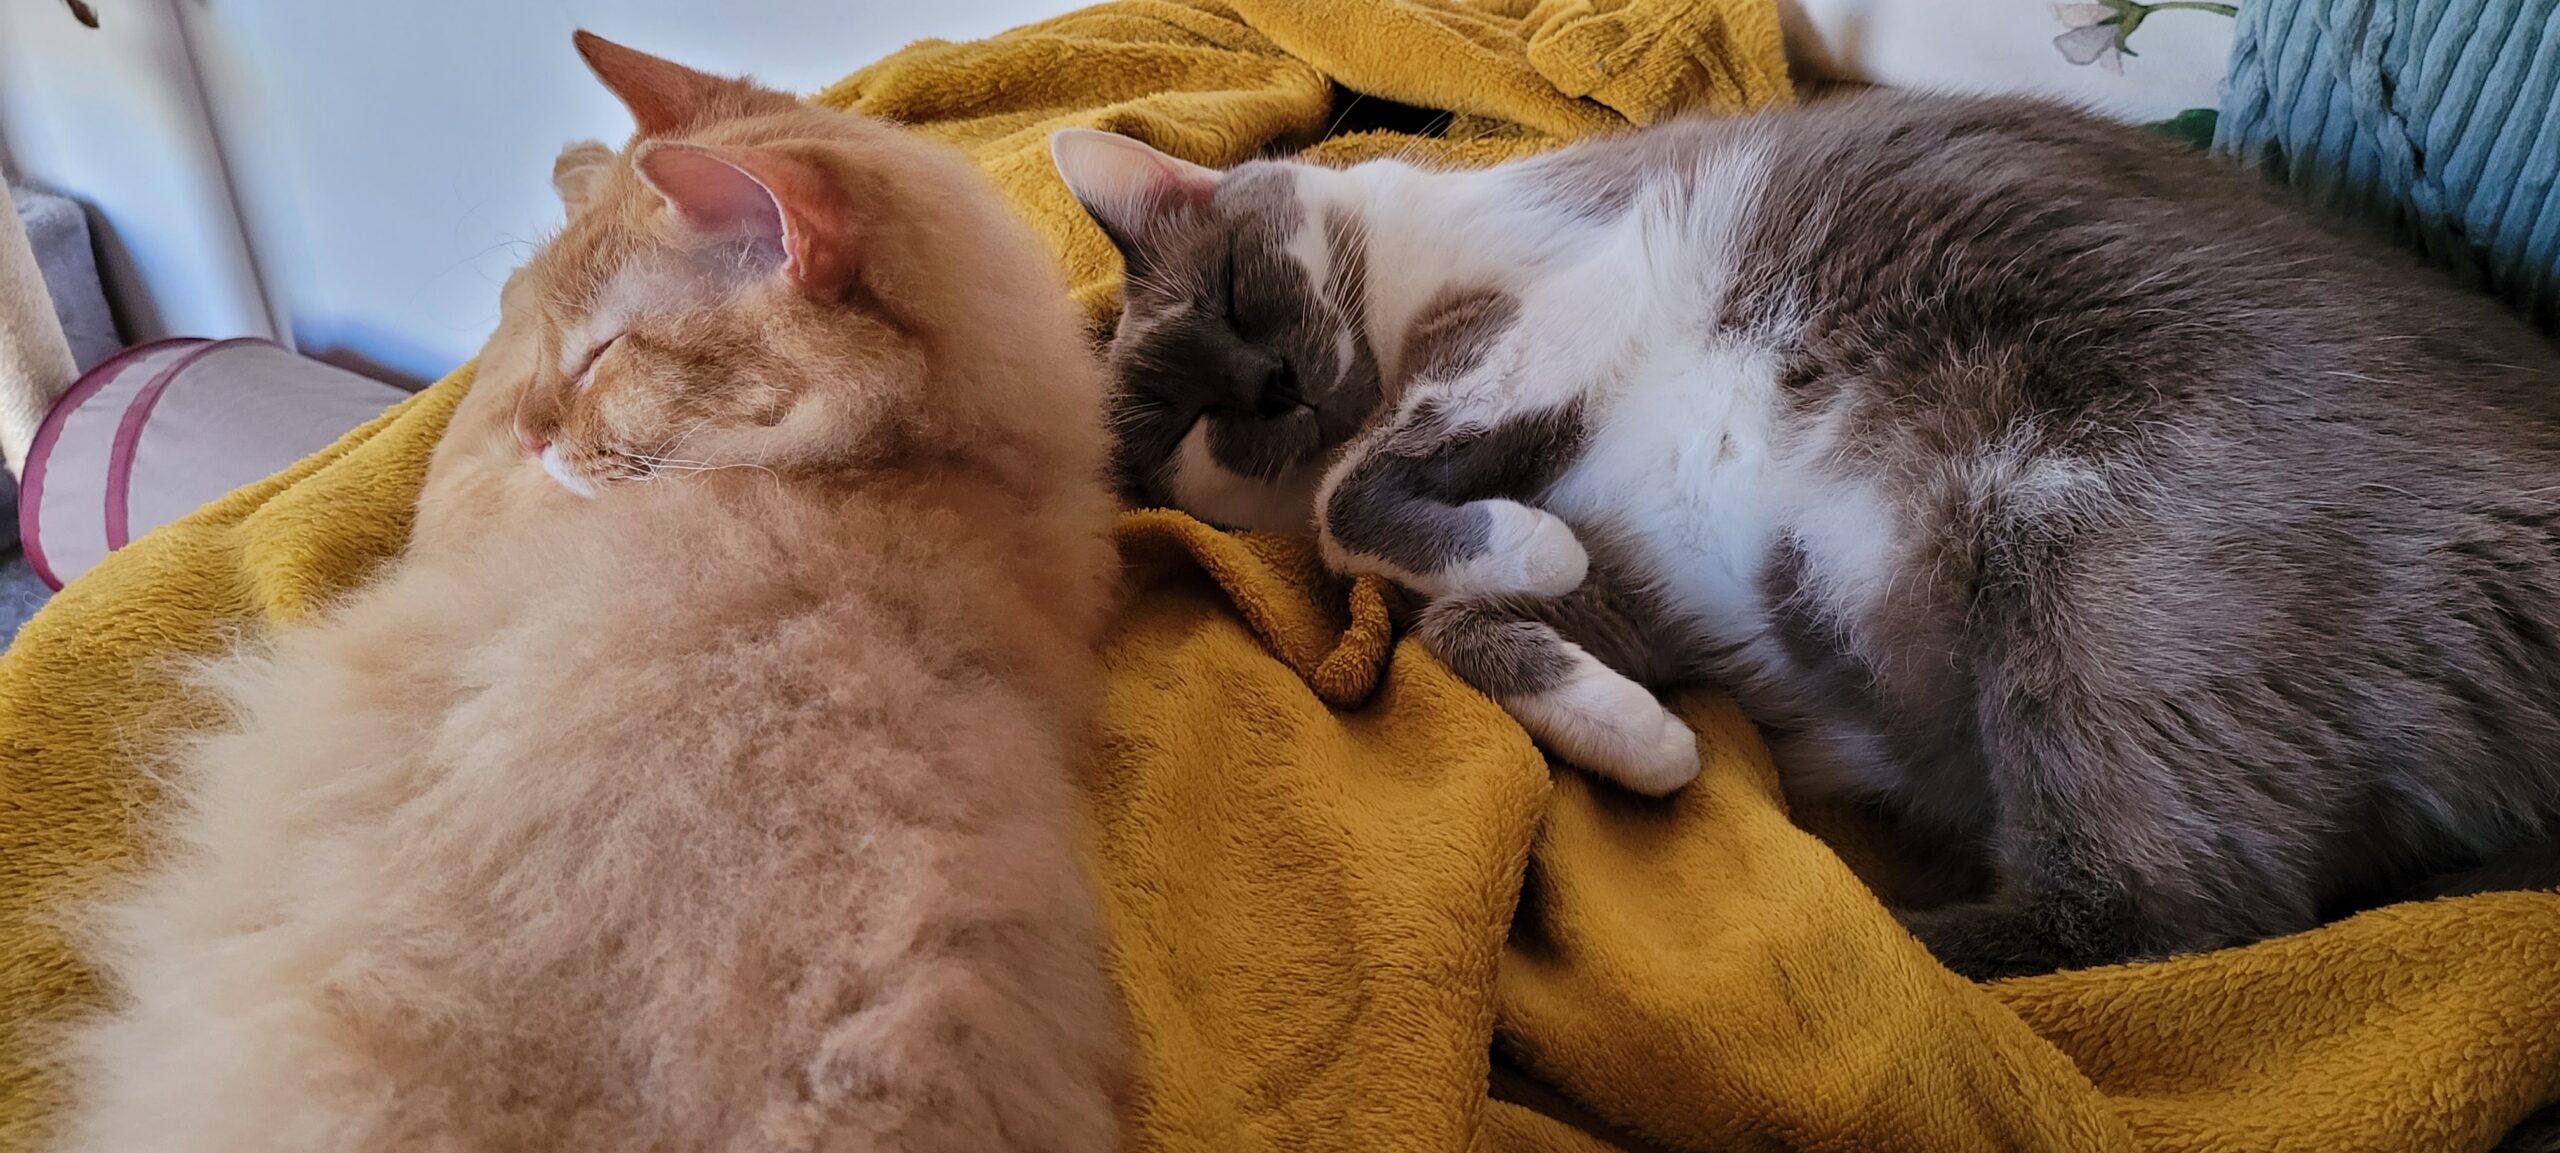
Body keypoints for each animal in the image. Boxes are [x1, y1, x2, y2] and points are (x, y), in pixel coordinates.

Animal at [1049, 90, 2560, 978]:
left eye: (1239, 298)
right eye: (1189, 417)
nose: (1274, 390)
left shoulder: (1537, 324)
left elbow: (1357, 505)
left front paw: (1495, 545)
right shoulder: (1637, 578)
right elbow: (1456, 616)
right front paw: (1646, 742)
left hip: (2097, 599)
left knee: (2166, 921)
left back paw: (1843, 932)